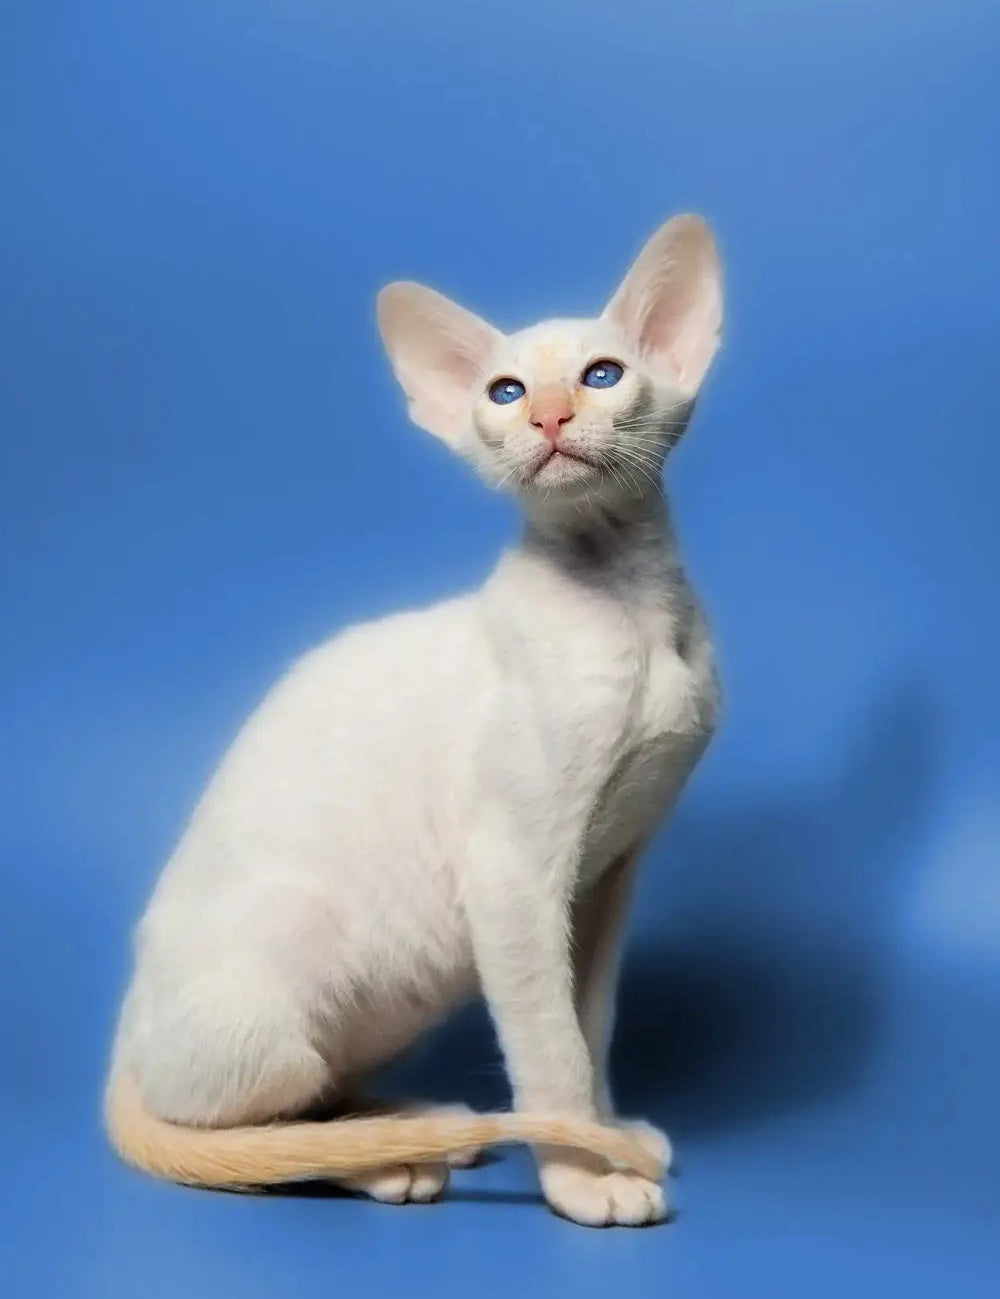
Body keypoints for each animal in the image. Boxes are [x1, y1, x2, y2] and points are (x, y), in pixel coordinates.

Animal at [105, 213, 722, 1226]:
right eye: (504, 393)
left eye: (601, 374)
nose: (549, 417)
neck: (626, 595)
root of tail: (125, 1029)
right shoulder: (513, 874)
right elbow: (550, 1046)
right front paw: (582, 1175)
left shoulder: (612, 872)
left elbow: (590, 1023)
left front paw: (608, 1130)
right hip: (296, 947)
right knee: (240, 1125)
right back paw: (384, 1159)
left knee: (316, 1093)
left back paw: (413, 1121)